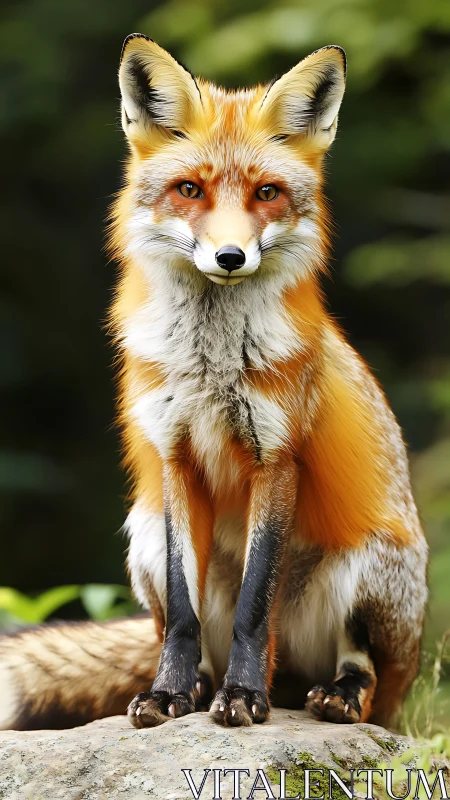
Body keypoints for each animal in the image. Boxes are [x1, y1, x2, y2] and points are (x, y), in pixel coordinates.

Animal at [0, 35, 428, 733]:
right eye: (189, 189)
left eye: (267, 193)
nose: (230, 257)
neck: (211, 365)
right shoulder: (174, 456)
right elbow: (183, 611)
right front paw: (169, 694)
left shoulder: (277, 458)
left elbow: (257, 605)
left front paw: (244, 697)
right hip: (142, 535)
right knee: (192, 630)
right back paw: (198, 688)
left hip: (370, 571)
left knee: (362, 675)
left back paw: (331, 694)